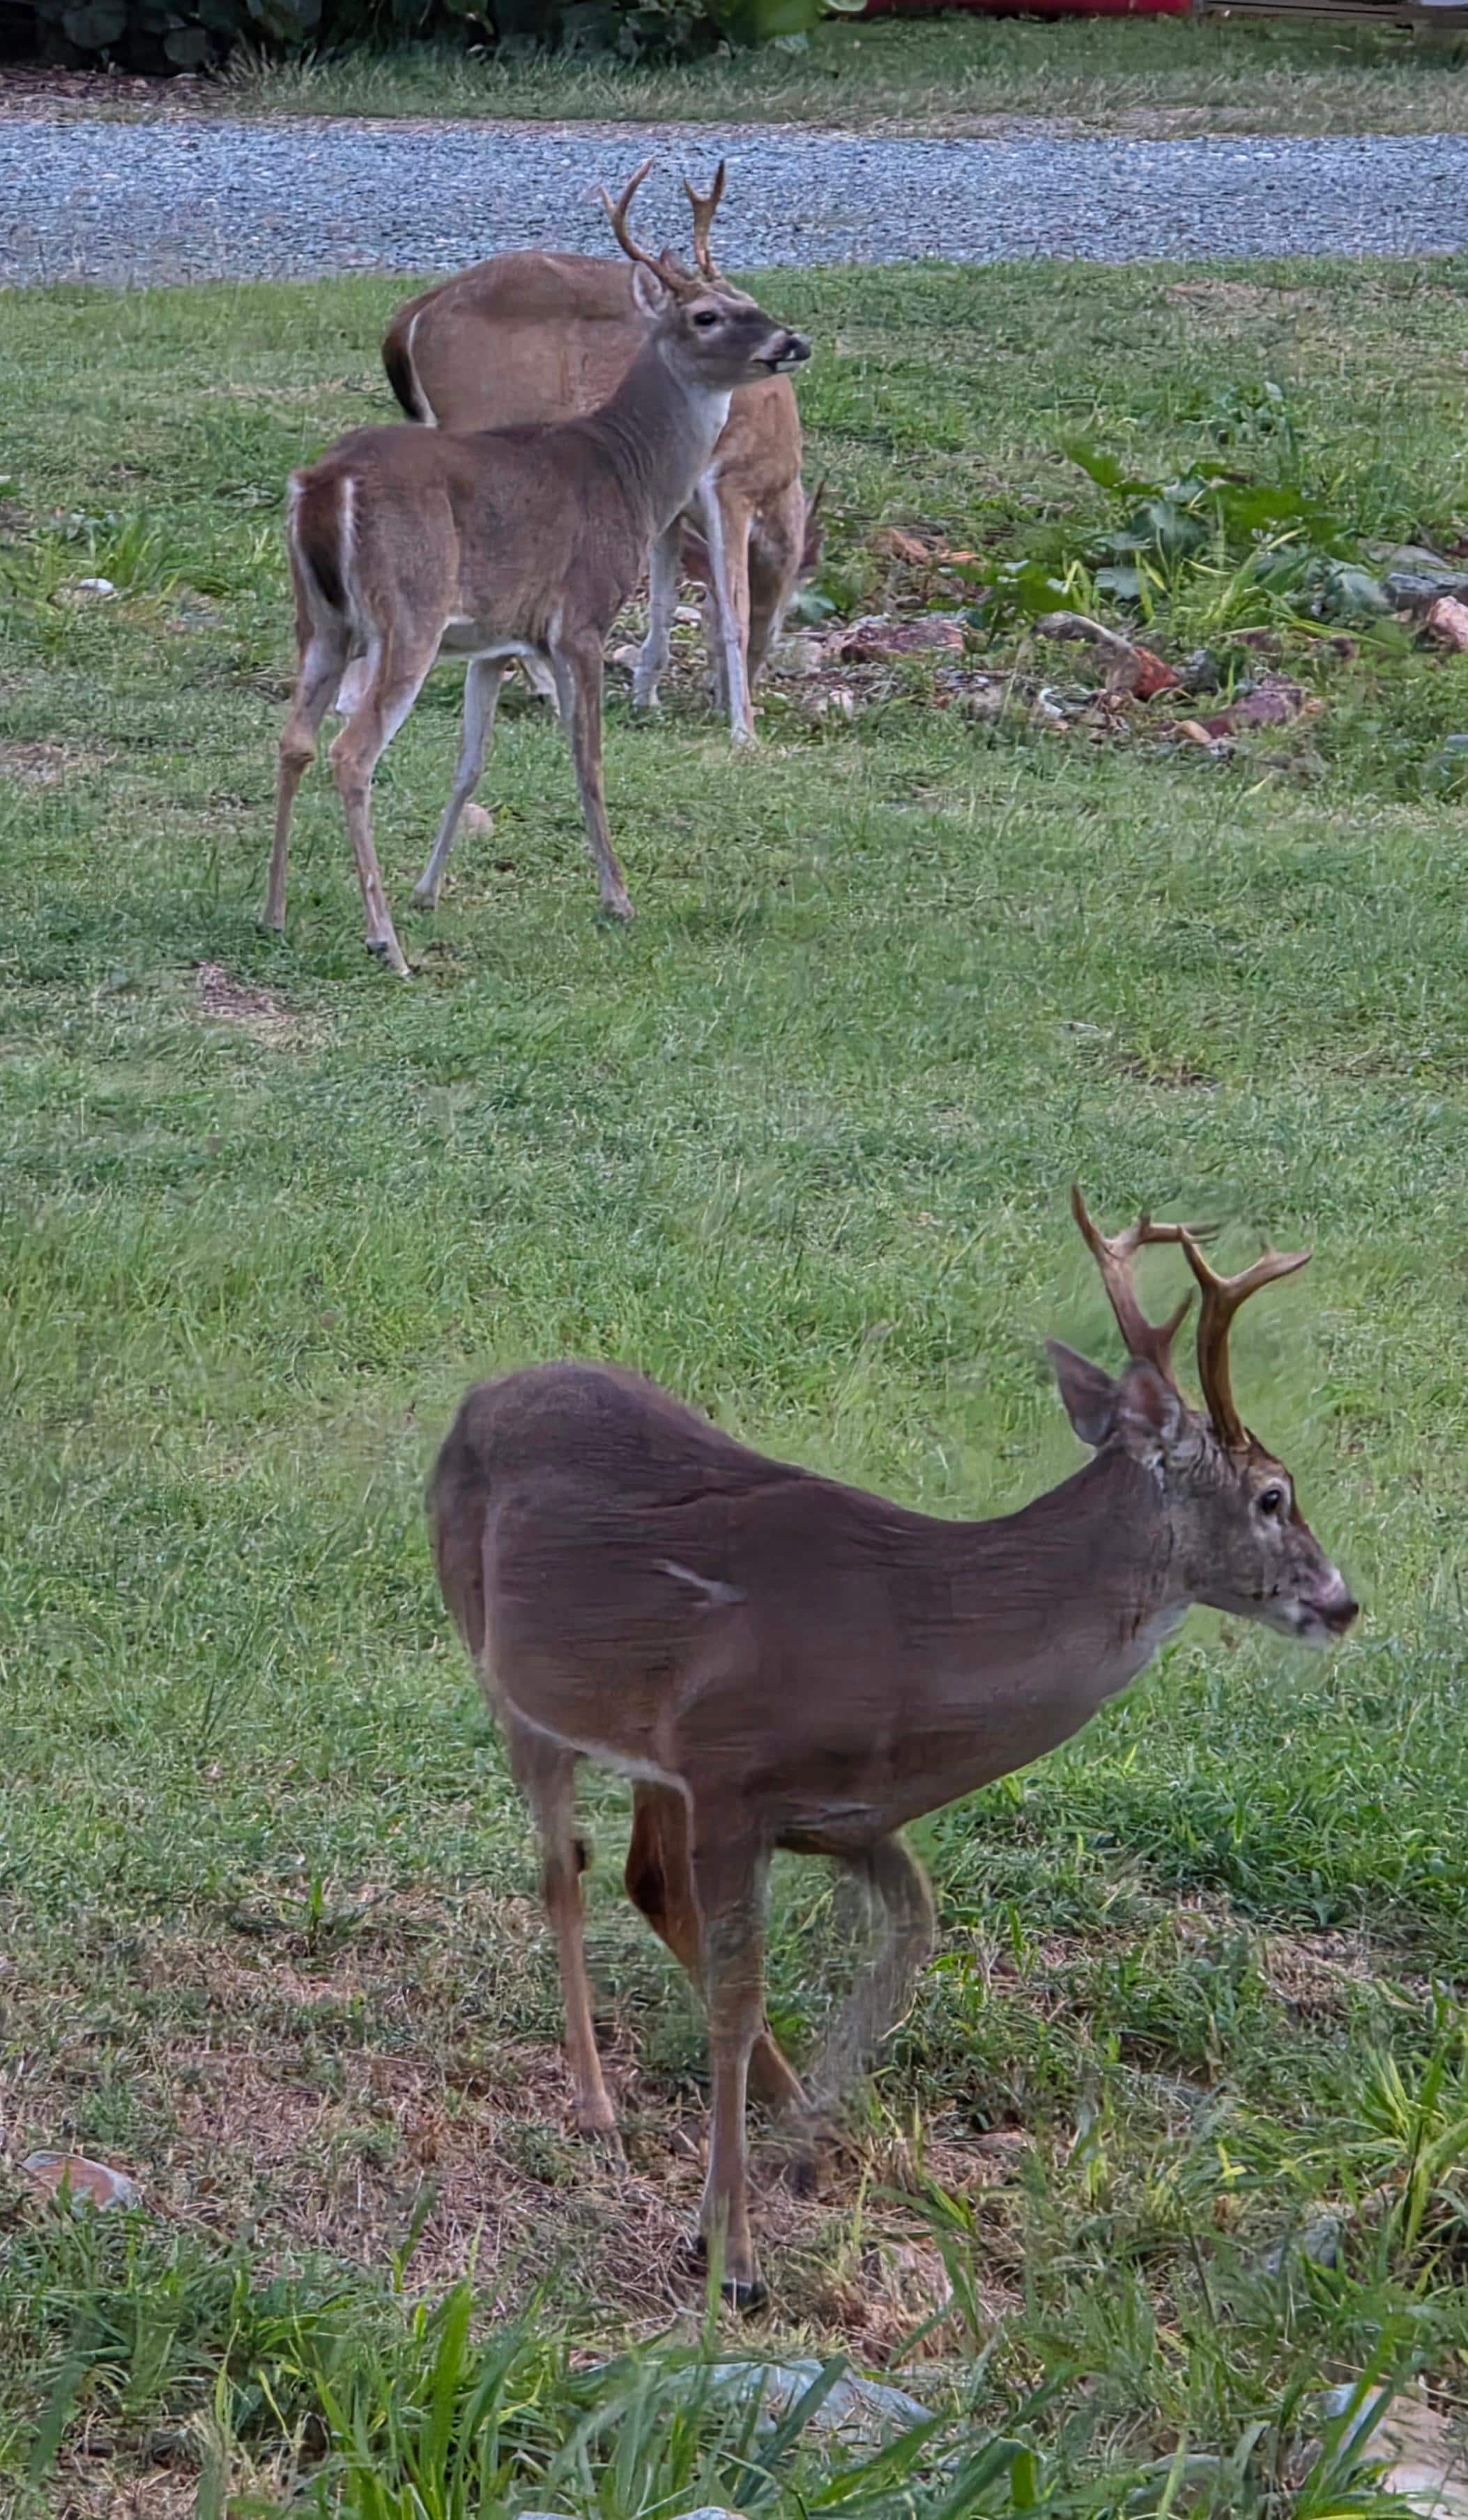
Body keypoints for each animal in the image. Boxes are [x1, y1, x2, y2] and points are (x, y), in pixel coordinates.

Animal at [372, 161, 819, 748]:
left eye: (751, 303)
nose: (793, 343)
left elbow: (665, 599)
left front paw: (647, 696)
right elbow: (733, 608)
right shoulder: (728, 485)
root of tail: (412, 316)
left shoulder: (672, 505)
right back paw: (540, 683)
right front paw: (743, 729)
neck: (779, 473)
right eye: (707, 316)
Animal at [427, 1187, 1358, 2305]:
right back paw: (598, 2106)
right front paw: (729, 2248)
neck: (914, 1638)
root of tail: (480, 1393)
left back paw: (772, 2105)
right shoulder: (731, 1774)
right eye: (1273, 1495)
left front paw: (818, 2132)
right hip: (509, 1672)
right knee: (561, 1873)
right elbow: (738, 1998)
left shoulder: (839, 1810)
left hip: (650, 1746)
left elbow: (911, 1931)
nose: (1342, 1601)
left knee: (647, 1880)